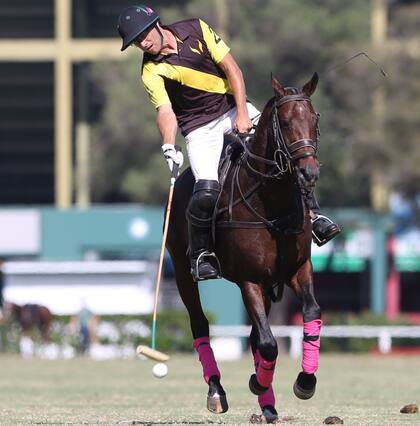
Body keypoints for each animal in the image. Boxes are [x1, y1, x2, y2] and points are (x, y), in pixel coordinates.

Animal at [167, 73, 322, 422]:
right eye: (286, 123)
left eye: (315, 120)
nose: (309, 173)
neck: (273, 202)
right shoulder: (249, 279)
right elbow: (268, 343)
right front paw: (255, 382)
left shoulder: (297, 269)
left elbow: (310, 314)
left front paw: (304, 382)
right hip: (182, 269)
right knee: (200, 323)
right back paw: (217, 391)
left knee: (254, 336)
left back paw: (268, 405)